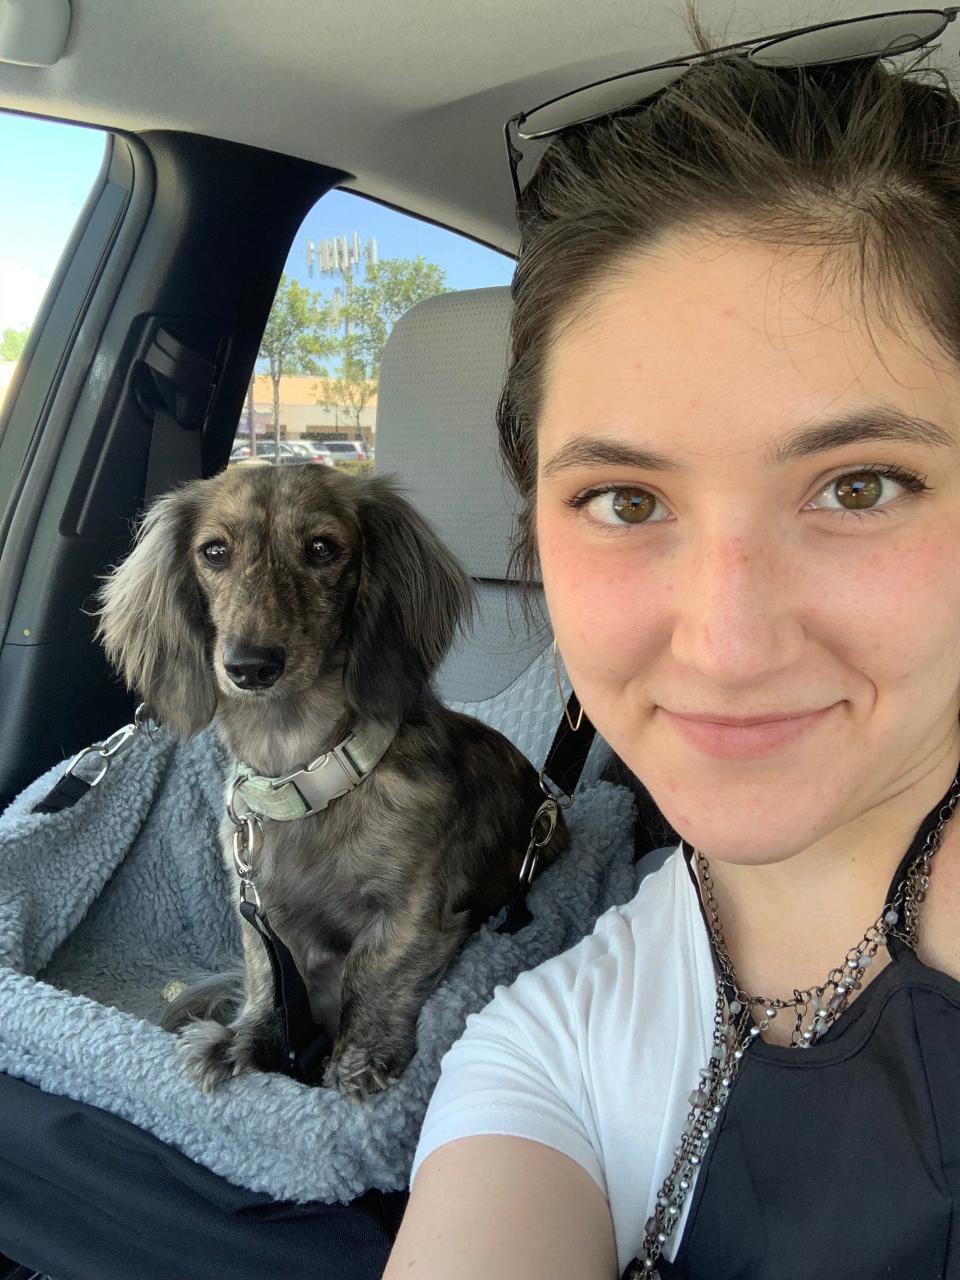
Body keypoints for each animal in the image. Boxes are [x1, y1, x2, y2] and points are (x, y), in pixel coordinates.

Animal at [96, 460, 570, 1100]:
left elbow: (372, 976)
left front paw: (358, 1059)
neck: (307, 774)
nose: (250, 666)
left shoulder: (412, 912)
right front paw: (247, 1040)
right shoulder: (262, 911)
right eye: (214, 551)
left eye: (322, 548)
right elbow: (270, 978)